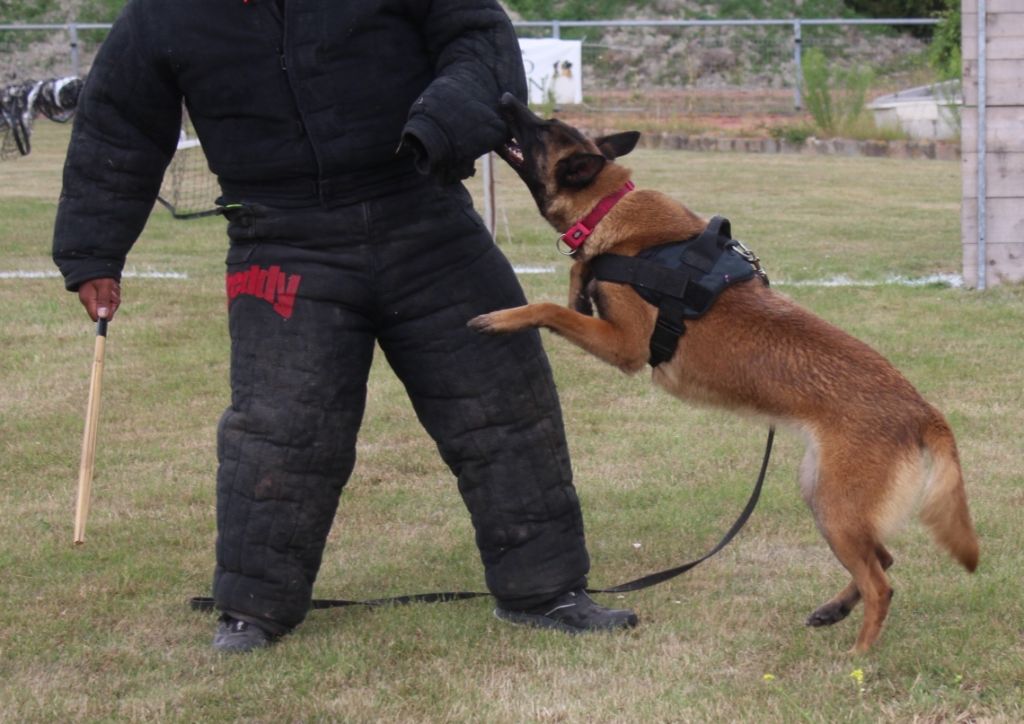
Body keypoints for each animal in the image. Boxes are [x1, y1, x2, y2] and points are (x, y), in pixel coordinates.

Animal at [468, 93, 978, 655]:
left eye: (540, 129)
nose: (506, 98)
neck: (609, 207)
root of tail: (922, 408)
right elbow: (569, 292)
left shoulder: (625, 346)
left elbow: (549, 308)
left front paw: (501, 317)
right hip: (822, 495)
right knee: (882, 560)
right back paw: (834, 610)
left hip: (836, 507)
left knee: (881, 582)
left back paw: (858, 656)